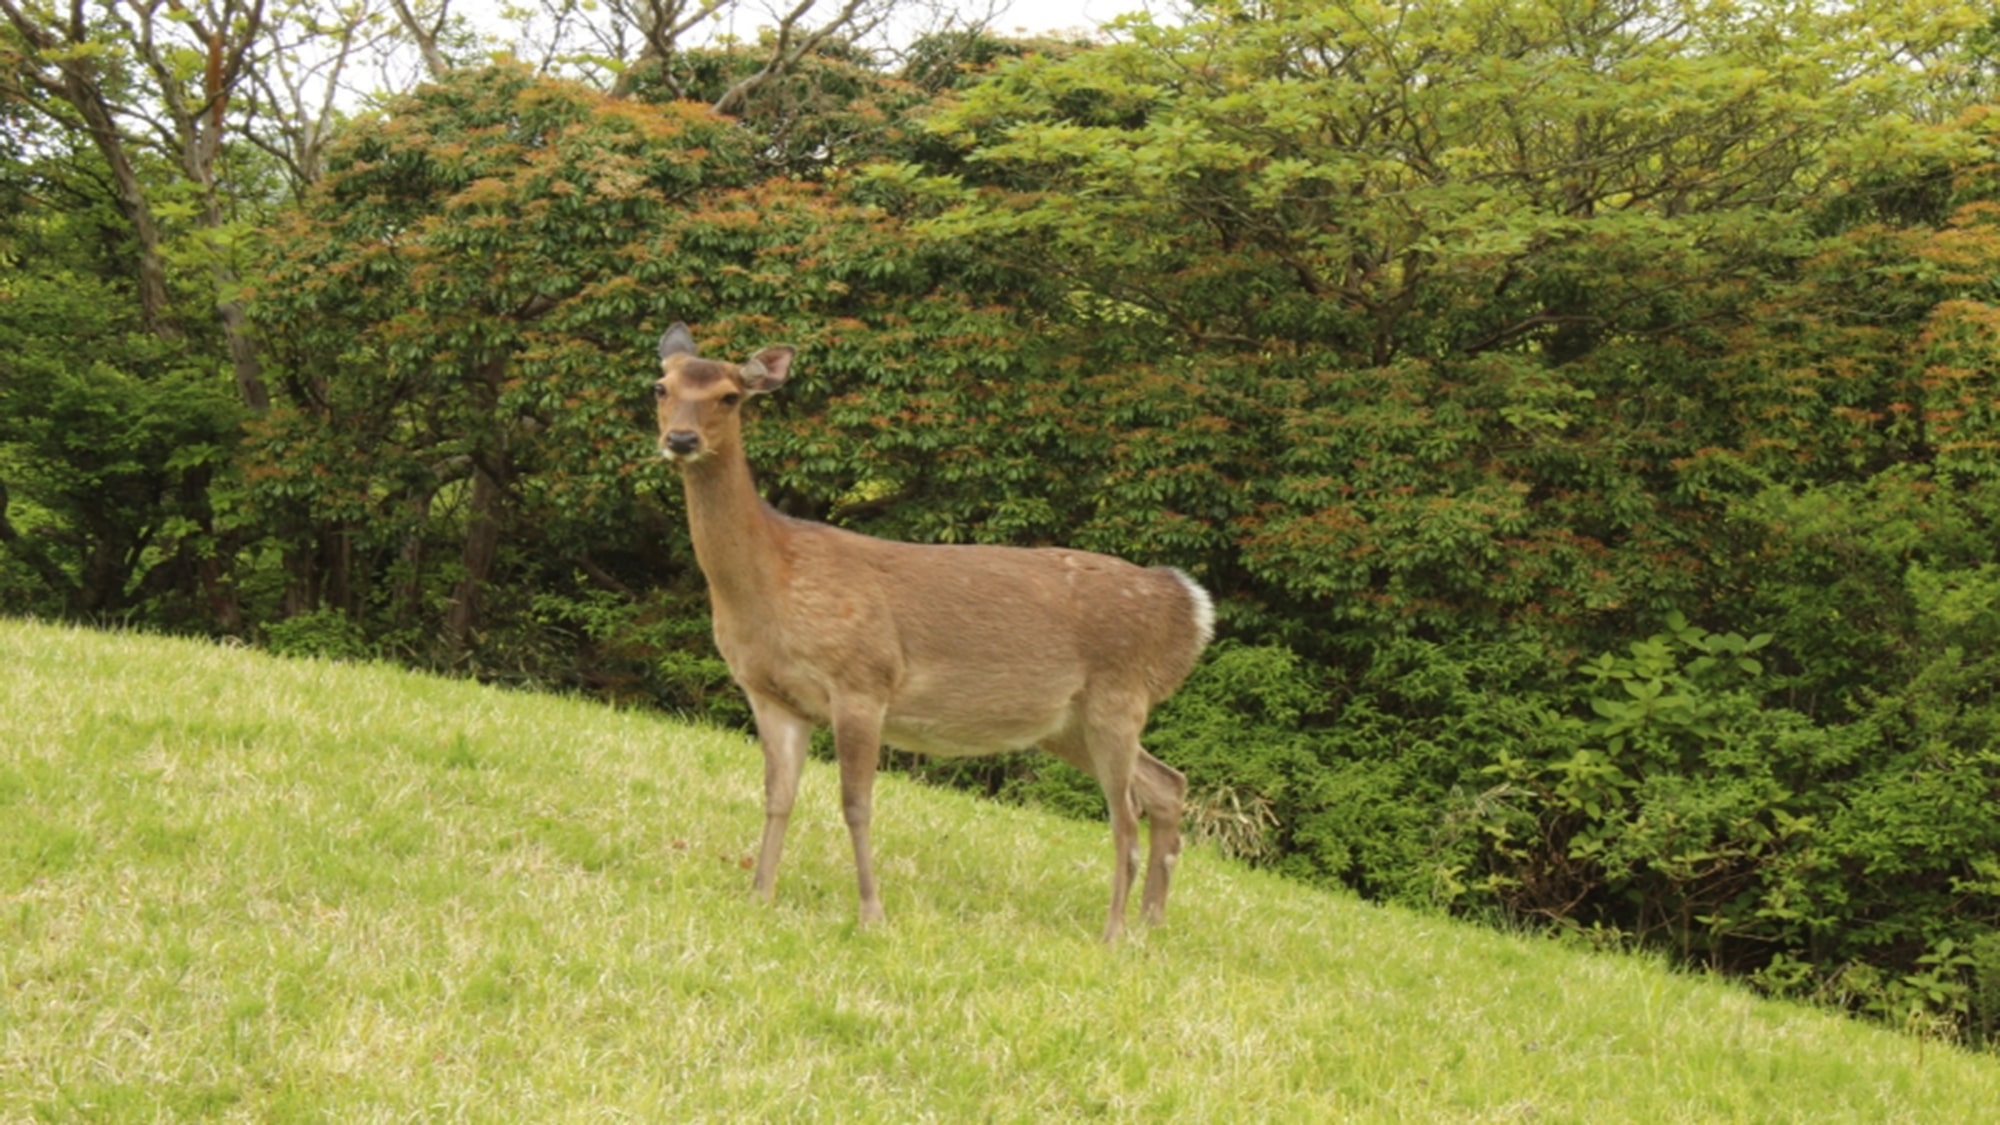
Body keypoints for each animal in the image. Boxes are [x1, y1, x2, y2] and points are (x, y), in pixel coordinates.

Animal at [656, 320, 1216, 932]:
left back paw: (1114, 932)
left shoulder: (863, 679)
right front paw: (759, 895)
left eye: (730, 397)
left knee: (1125, 819)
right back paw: (1149, 925)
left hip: (1119, 693)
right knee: (1167, 784)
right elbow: (778, 796)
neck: (774, 580)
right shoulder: (770, 693)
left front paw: (871, 913)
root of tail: (1189, 609)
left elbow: (856, 803)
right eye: (661, 387)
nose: (681, 440)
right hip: (1068, 722)